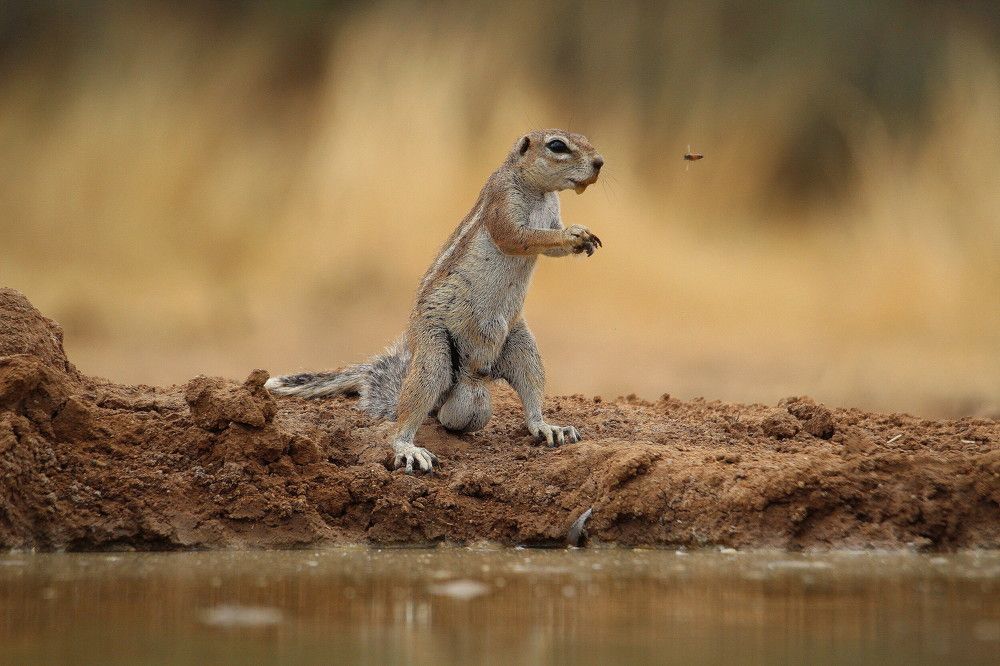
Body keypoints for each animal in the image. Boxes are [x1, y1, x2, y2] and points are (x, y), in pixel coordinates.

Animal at [266, 129, 604, 472]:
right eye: (557, 146)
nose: (599, 162)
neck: (539, 192)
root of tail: (470, 381)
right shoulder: (502, 203)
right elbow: (519, 236)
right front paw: (574, 234)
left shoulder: (551, 212)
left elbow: (550, 245)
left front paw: (580, 239)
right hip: (433, 352)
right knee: (411, 410)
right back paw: (409, 447)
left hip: (522, 345)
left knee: (529, 390)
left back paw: (547, 427)